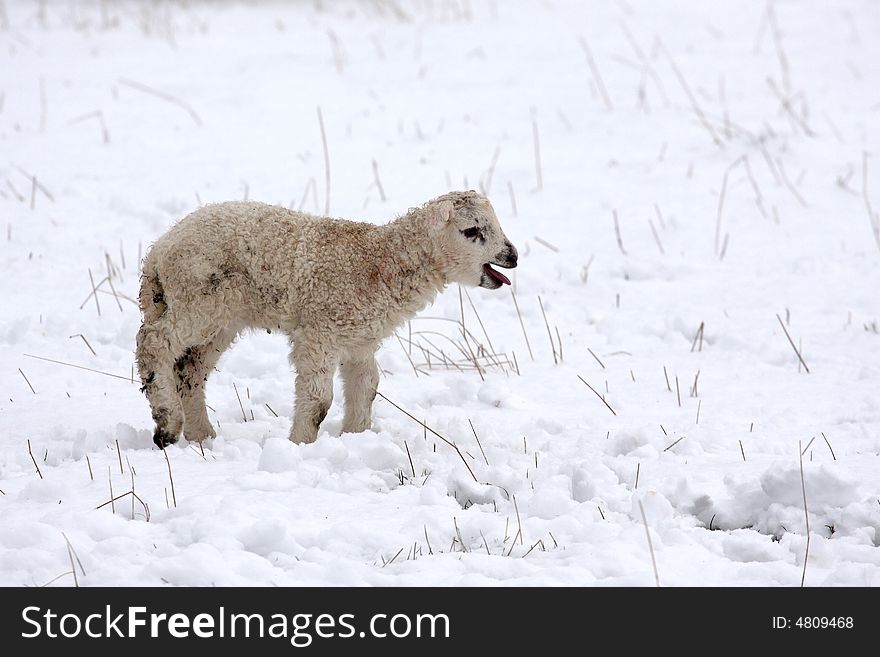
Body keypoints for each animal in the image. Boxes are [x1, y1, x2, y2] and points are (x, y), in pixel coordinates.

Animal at [136, 187, 516, 448]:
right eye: (471, 231)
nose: (511, 256)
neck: (379, 263)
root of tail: (158, 252)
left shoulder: (360, 339)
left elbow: (366, 387)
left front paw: (356, 437)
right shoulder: (319, 331)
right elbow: (319, 400)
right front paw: (300, 443)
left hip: (221, 318)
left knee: (190, 368)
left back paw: (201, 435)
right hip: (196, 299)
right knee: (154, 343)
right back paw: (167, 425)